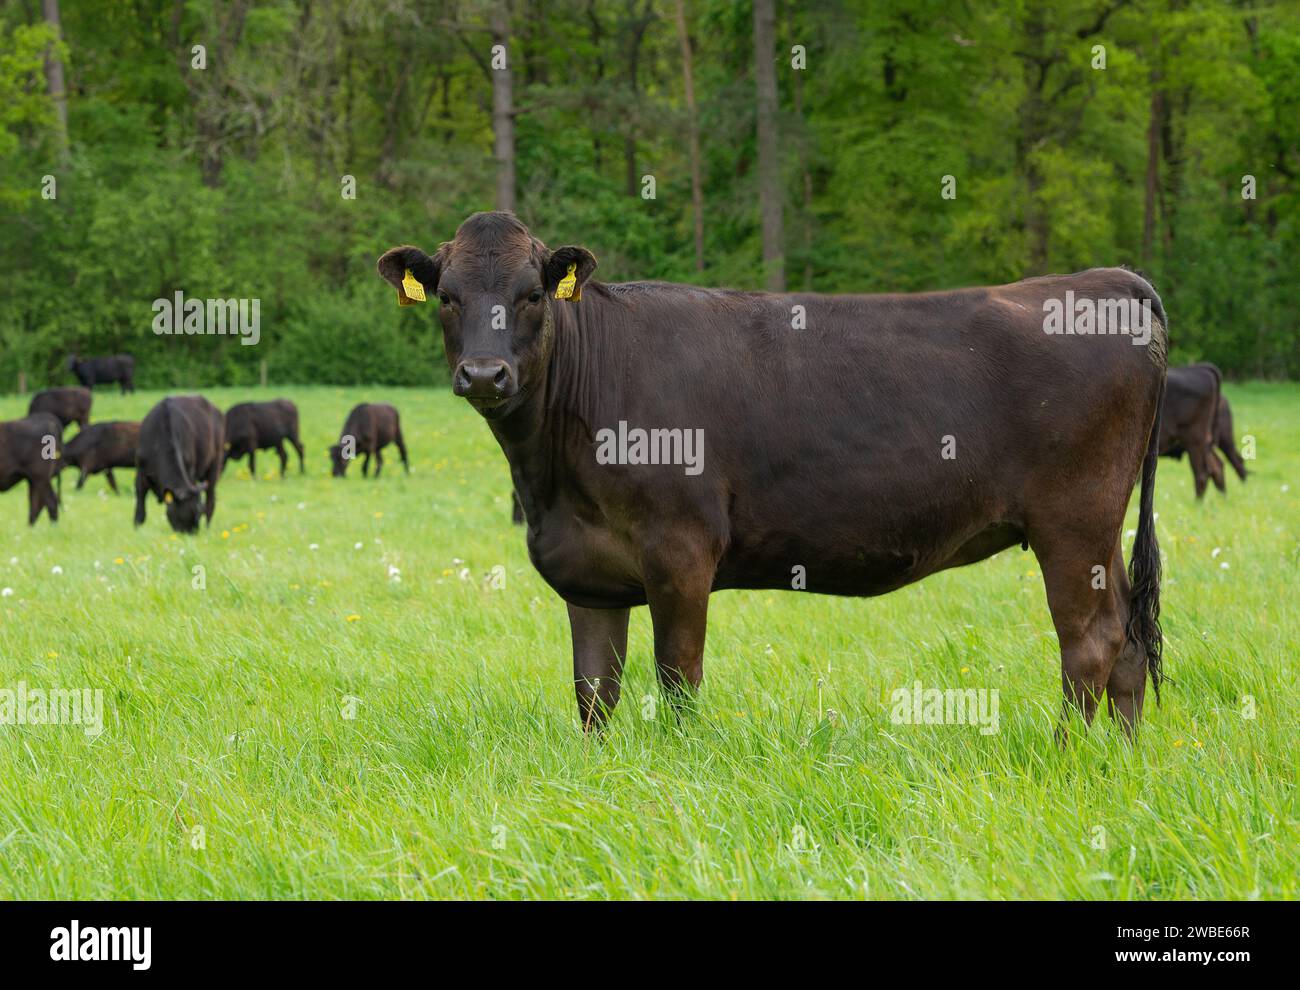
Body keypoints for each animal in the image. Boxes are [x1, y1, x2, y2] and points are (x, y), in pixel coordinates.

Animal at [134, 392, 223, 532]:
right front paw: (137, 528)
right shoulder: (140, 471)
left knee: (210, 499)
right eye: (187, 514)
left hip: (215, 463)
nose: (192, 533)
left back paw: (208, 528)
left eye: (199, 514)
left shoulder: (190, 471)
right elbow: (140, 506)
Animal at [377, 211, 1170, 737]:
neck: (553, 480)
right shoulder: (589, 572)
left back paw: (1066, 754)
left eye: (533, 295)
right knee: (1129, 641)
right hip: (1099, 530)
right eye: (447, 296)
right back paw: (1116, 761)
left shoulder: (680, 550)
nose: (485, 373)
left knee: (1090, 641)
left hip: (1072, 518)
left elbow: (677, 678)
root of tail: (1108, 280)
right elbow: (593, 692)